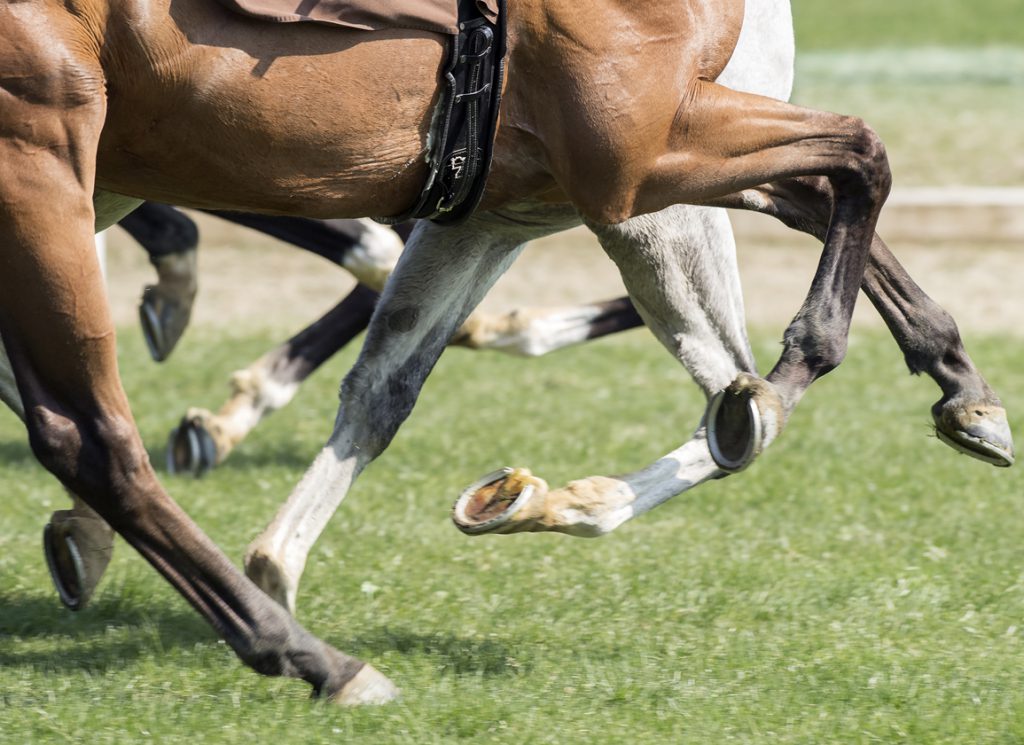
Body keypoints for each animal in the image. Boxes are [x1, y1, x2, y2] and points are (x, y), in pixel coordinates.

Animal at [0, 0, 1012, 706]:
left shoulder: (512, 200)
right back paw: (316, 659)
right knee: (88, 434)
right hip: (47, 160)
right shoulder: (636, 164)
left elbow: (384, 387)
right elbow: (855, 167)